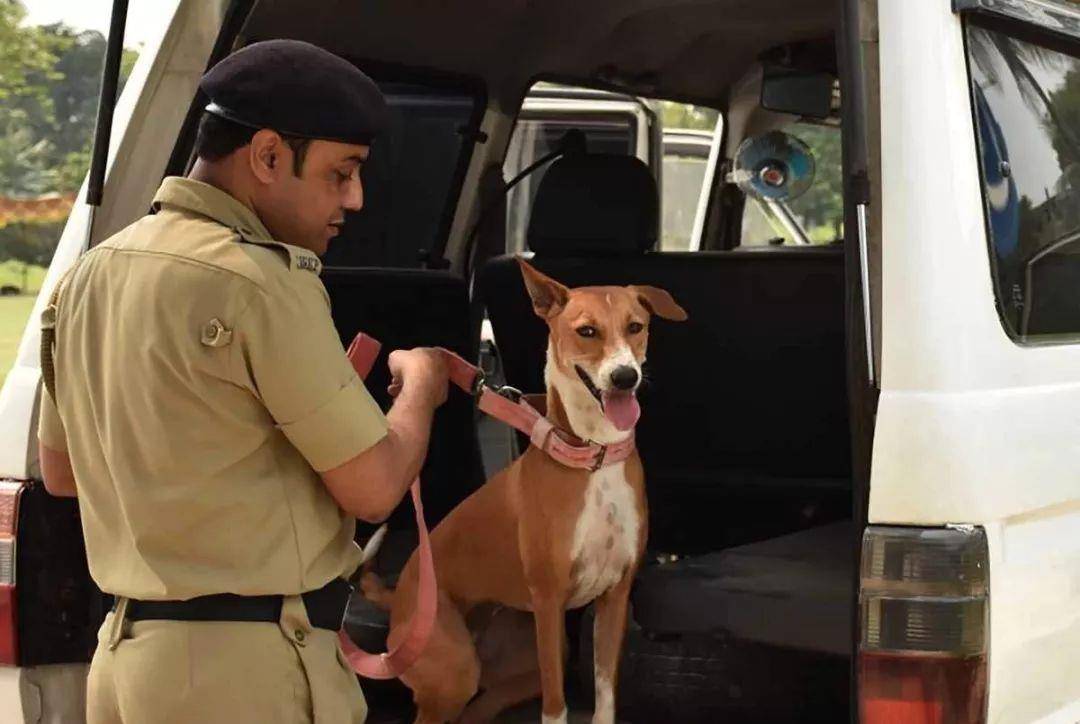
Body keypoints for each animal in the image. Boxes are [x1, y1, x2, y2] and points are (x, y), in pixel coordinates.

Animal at [360, 262, 682, 724]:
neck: (594, 457)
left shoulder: (614, 598)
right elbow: (555, 706)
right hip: (454, 670)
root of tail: (399, 594)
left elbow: (605, 697)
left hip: (509, 670)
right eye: (587, 331)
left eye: (635, 326)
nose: (625, 377)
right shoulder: (548, 604)